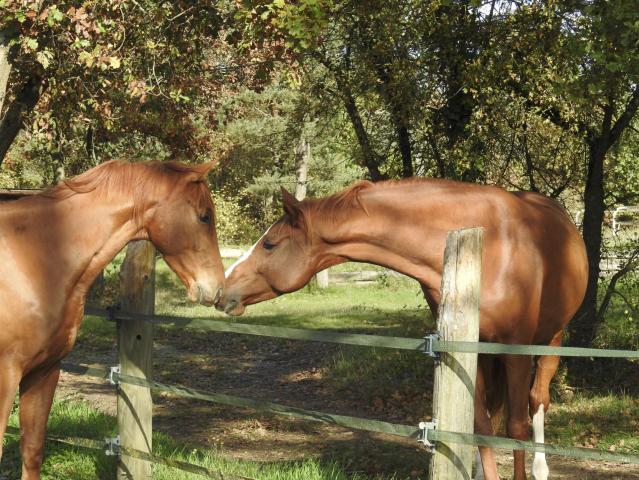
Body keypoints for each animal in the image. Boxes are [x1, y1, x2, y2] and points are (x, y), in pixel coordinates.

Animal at [0, 159, 226, 478]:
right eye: (204, 216)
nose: (217, 289)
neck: (34, 260)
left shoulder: (44, 371)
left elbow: (32, 452)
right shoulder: (5, 378)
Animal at [218, 179, 588, 480]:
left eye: (269, 244)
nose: (222, 290)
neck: (490, 242)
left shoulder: (515, 350)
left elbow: (516, 426)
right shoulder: (468, 346)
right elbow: (480, 423)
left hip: (549, 342)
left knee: (537, 402)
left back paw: (541, 468)